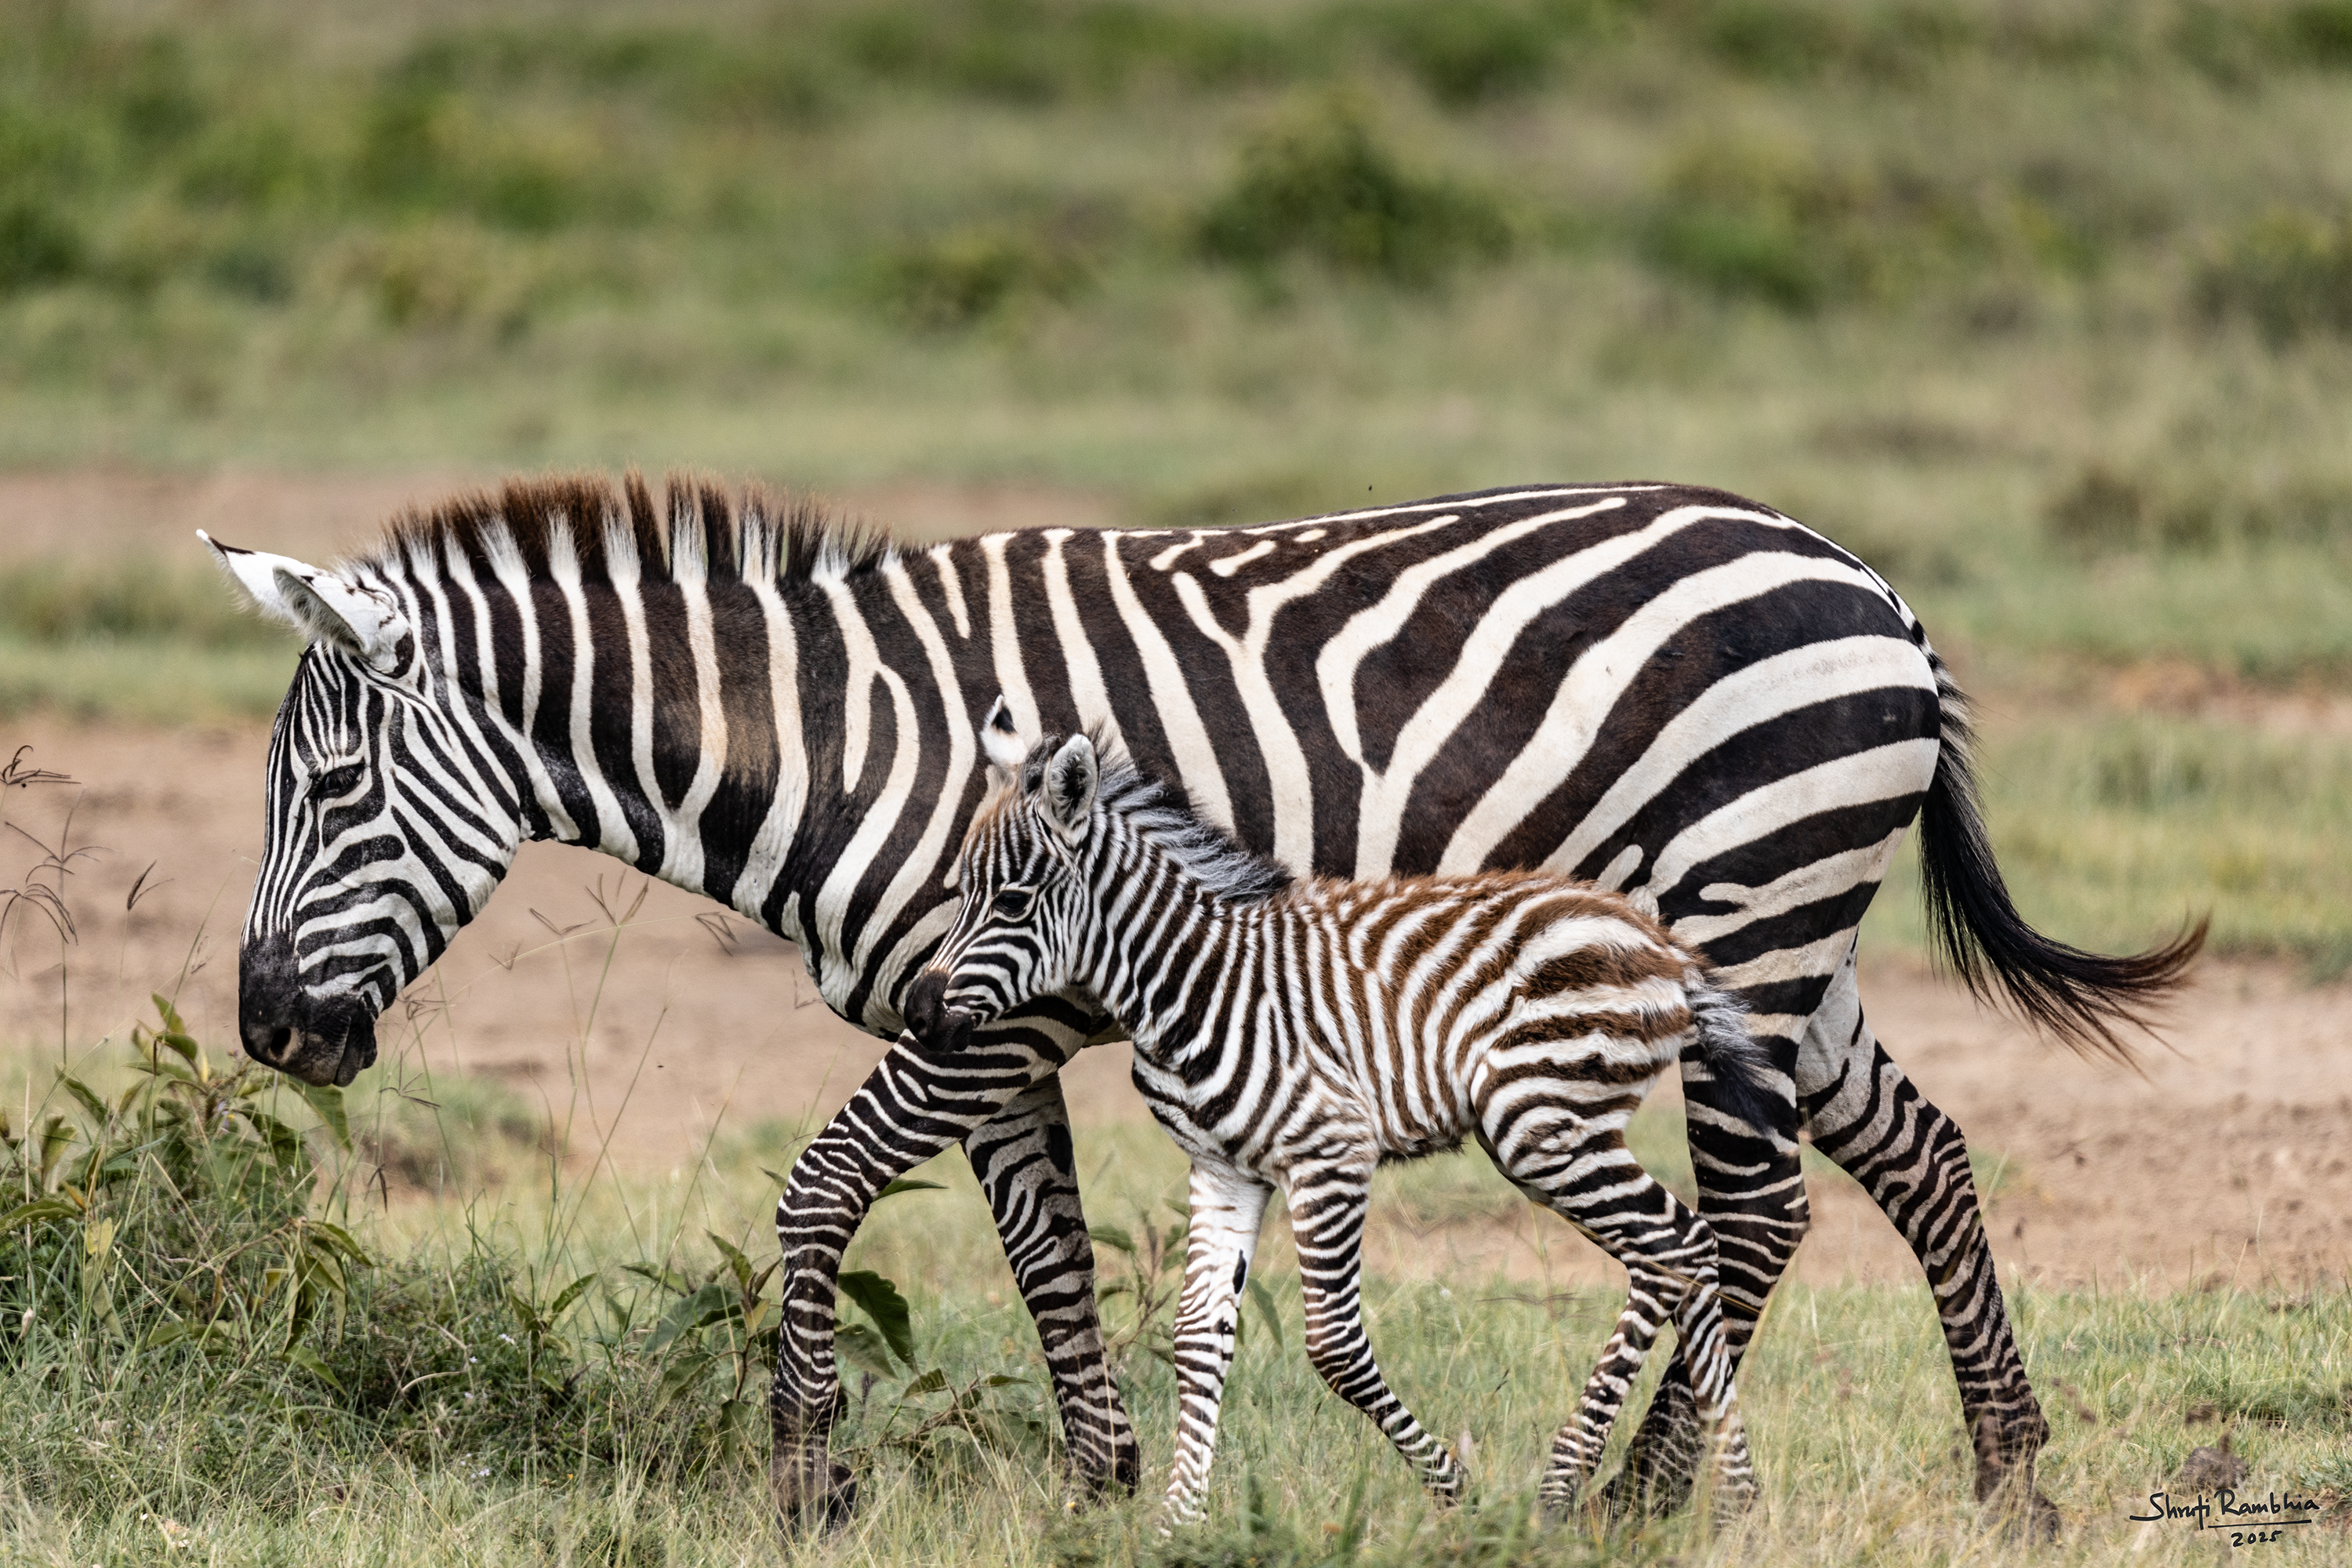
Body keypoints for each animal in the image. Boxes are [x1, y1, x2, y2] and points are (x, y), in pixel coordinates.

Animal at [906, 718, 1772, 1525]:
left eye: (1011, 901)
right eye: (959, 892)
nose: (918, 1011)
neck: (1189, 982)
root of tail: (1661, 943)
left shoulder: (1330, 1153)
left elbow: (1334, 1347)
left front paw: (1458, 1496)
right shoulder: (1223, 1166)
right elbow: (1196, 1336)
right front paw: (1180, 1521)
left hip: (1540, 1125)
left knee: (1681, 1244)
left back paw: (1638, 1489)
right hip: (1563, 1131)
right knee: (1675, 1251)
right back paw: (1697, 1494)